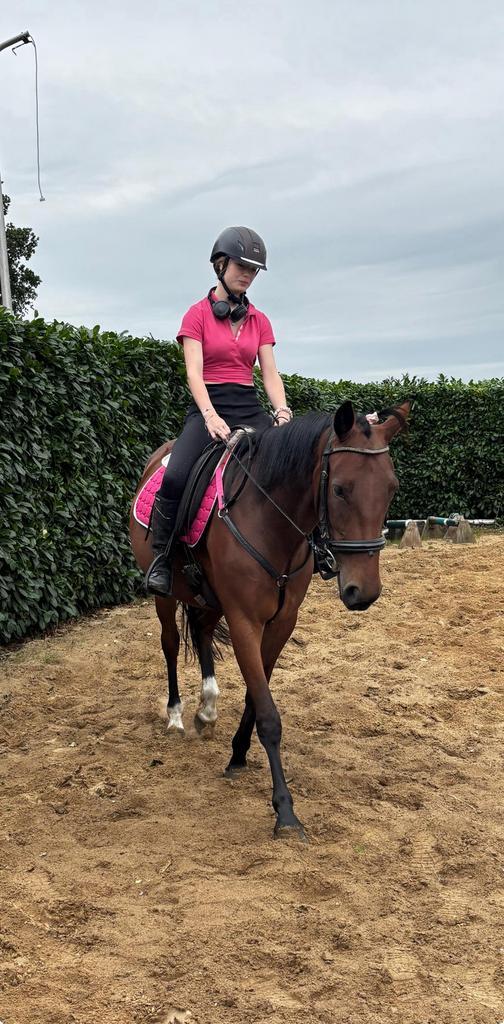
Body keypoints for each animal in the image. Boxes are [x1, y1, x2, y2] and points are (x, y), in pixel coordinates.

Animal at [129, 399, 410, 839]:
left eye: (391, 488)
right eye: (339, 489)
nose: (362, 592)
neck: (269, 521)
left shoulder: (281, 623)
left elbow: (253, 695)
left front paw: (237, 755)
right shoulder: (245, 620)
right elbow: (268, 714)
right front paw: (285, 812)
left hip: (209, 597)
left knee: (203, 632)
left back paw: (207, 707)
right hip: (166, 594)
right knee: (171, 644)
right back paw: (176, 714)